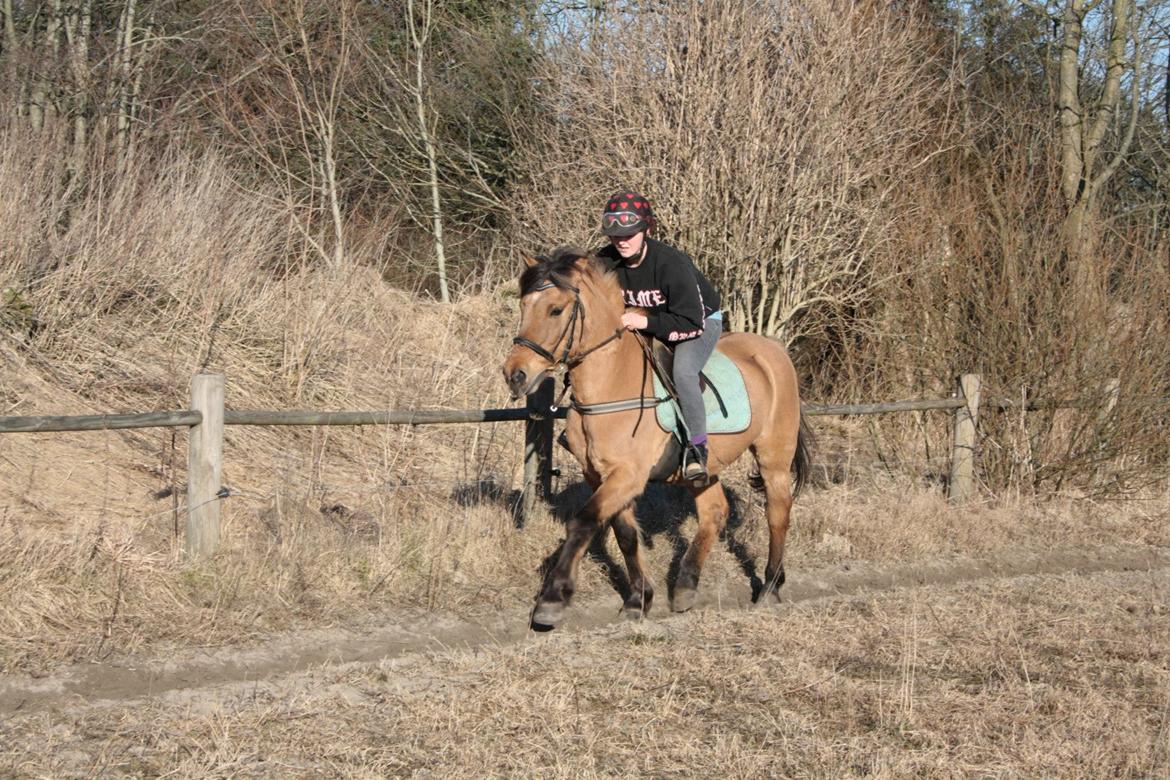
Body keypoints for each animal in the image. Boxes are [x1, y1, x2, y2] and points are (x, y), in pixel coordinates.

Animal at [502, 247, 811, 630]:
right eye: (523, 305)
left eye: (555, 310)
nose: (514, 375)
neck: (610, 382)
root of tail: (773, 349)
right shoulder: (601, 475)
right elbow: (625, 533)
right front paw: (639, 599)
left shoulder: (627, 475)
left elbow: (583, 522)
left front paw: (552, 600)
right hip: (704, 468)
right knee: (714, 512)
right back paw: (685, 586)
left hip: (773, 457)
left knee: (777, 512)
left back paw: (769, 586)